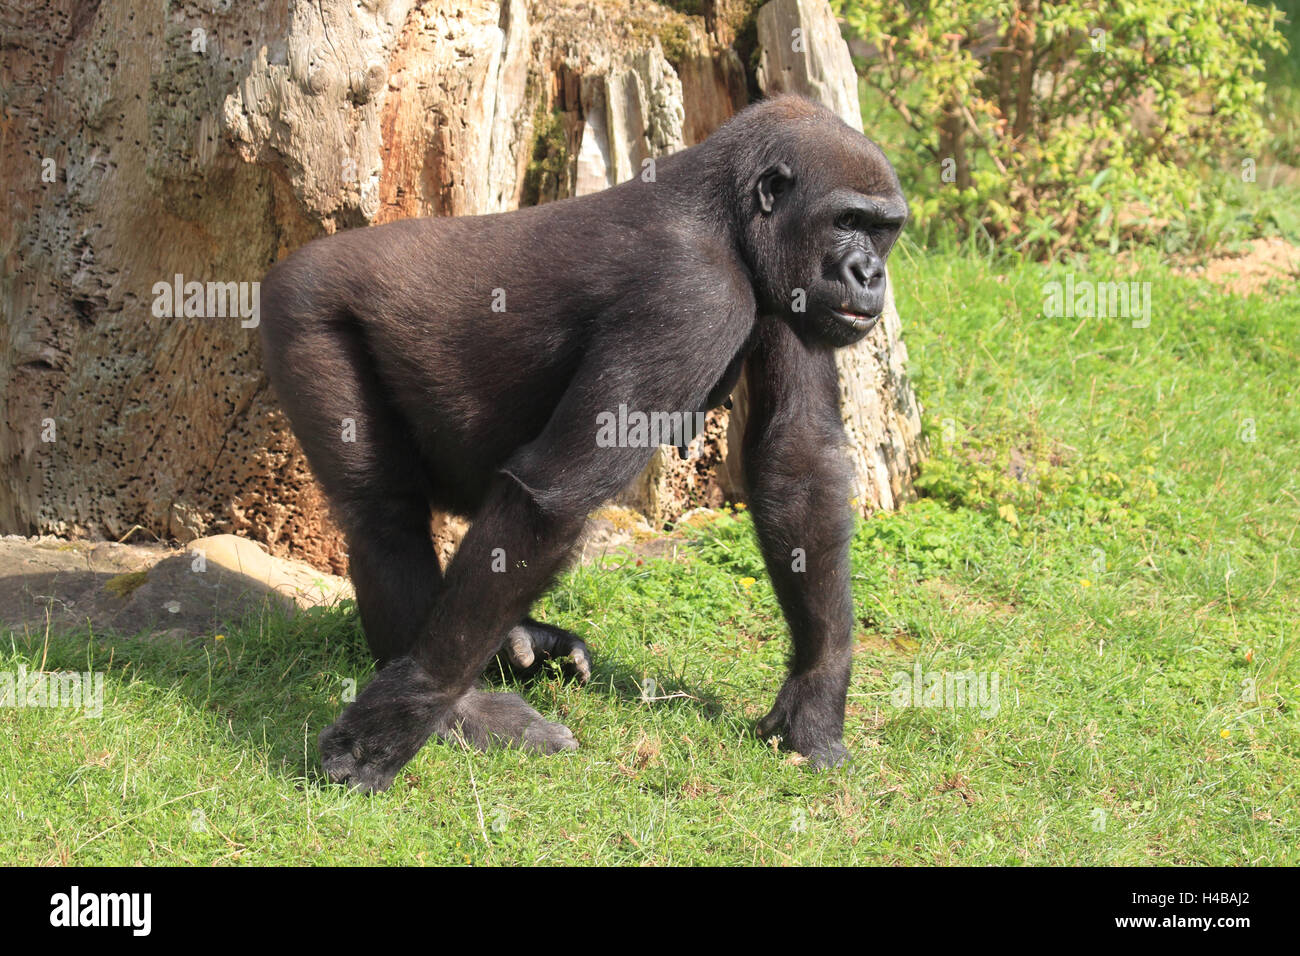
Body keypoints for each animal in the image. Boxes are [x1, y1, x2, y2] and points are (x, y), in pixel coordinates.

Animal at [258, 95, 909, 790]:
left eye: (883, 229)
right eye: (846, 221)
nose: (869, 273)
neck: (730, 220)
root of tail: (288, 264)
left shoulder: (792, 294)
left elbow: (797, 460)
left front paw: (815, 697)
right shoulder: (690, 295)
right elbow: (555, 500)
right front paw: (387, 729)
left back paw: (518, 645)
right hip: (304, 312)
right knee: (384, 515)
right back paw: (460, 710)